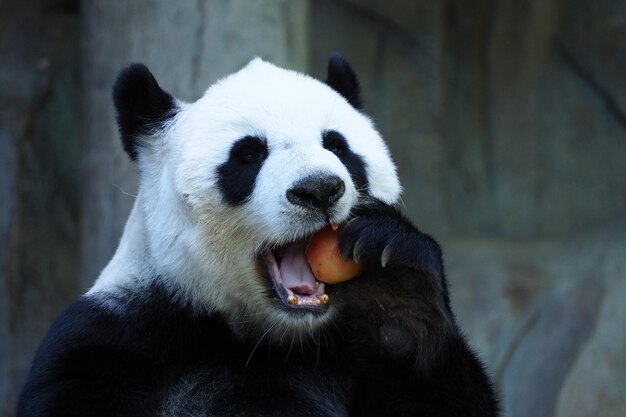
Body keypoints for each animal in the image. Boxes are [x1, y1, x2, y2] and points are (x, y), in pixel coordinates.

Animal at [17, 55, 498, 416]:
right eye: (248, 154)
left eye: (337, 146)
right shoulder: (109, 344)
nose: (319, 189)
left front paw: (395, 287)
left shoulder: (347, 355)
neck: (261, 337)